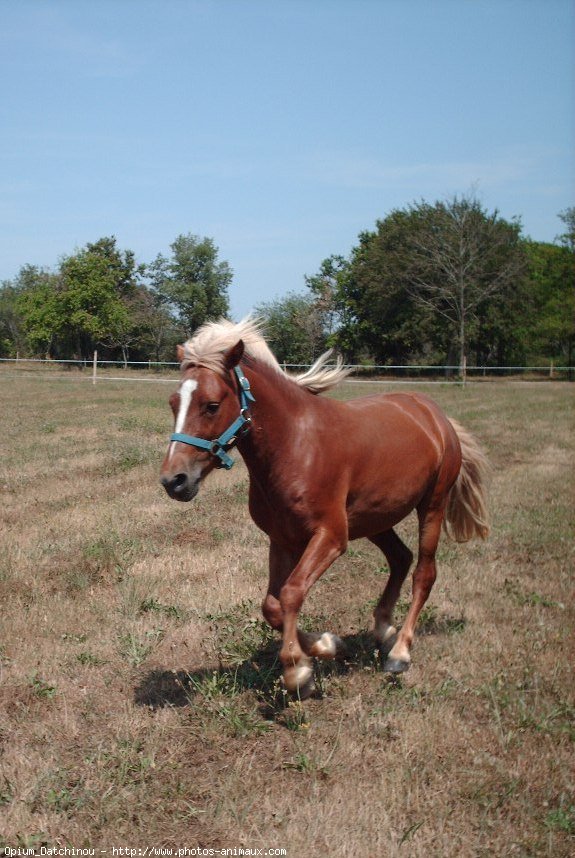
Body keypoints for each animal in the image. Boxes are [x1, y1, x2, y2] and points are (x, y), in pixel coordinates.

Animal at [160, 318, 488, 700]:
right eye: (173, 403)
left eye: (211, 405)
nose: (174, 480)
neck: (295, 446)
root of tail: (434, 414)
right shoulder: (282, 539)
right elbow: (273, 604)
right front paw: (326, 647)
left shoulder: (330, 537)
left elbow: (290, 594)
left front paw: (297, 672)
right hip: (375, 519)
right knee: (400, 559)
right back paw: (384, 631)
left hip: (432, 506)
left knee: (424, 573)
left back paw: (400, 652)